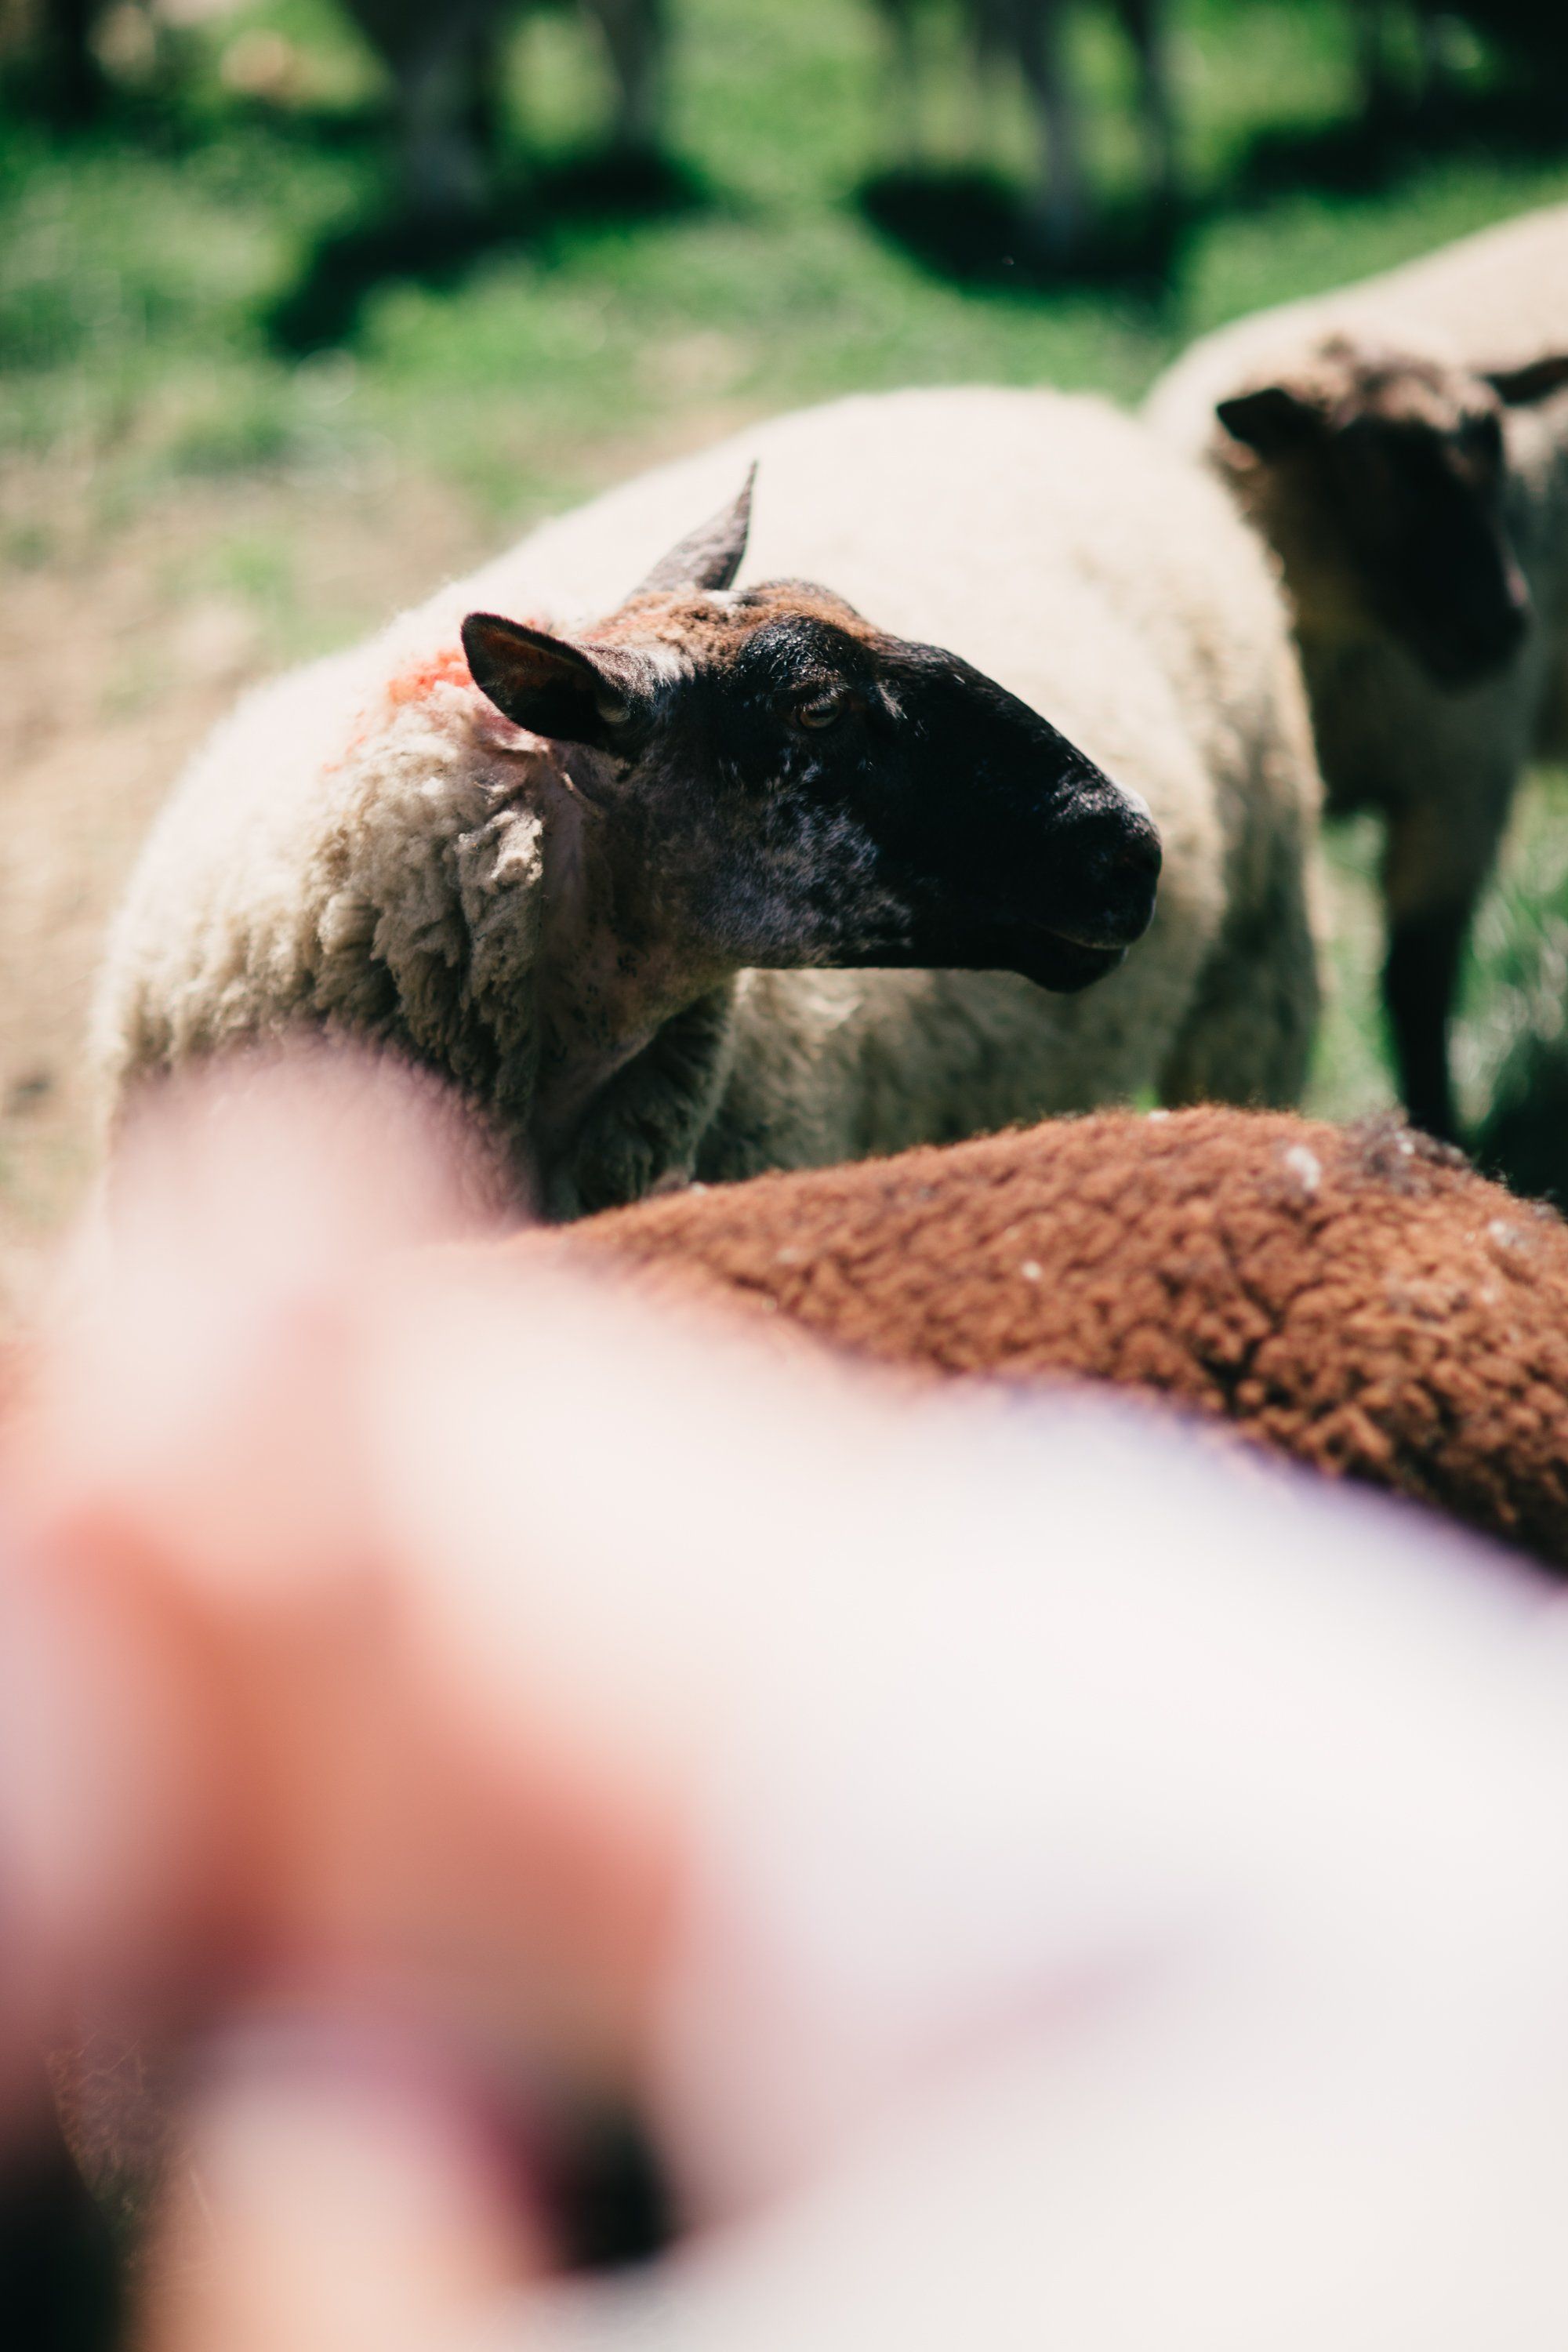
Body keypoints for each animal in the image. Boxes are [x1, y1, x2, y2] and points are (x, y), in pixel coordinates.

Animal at [1144, 206, 1568, 1143]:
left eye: (1496, 452)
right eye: (1373, 467)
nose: (1500, 626)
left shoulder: (1457, 786)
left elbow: (1415, 982)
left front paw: (1435, 1122)